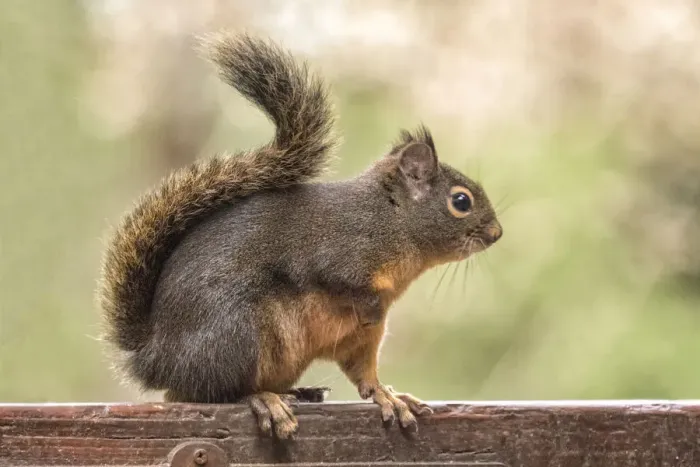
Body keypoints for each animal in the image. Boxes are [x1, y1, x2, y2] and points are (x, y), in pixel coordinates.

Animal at [98, 32, 503, 439]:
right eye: (461, 201)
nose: (496, 233)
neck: (393, 221)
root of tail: (156, 357)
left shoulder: (361, 338)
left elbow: (365, 375)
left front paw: (387, 395)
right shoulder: (340, 249)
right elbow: (340, 282)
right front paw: (370, 306)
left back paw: (298, 392)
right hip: (236, 332)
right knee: (209, 392)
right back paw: (264, 400)